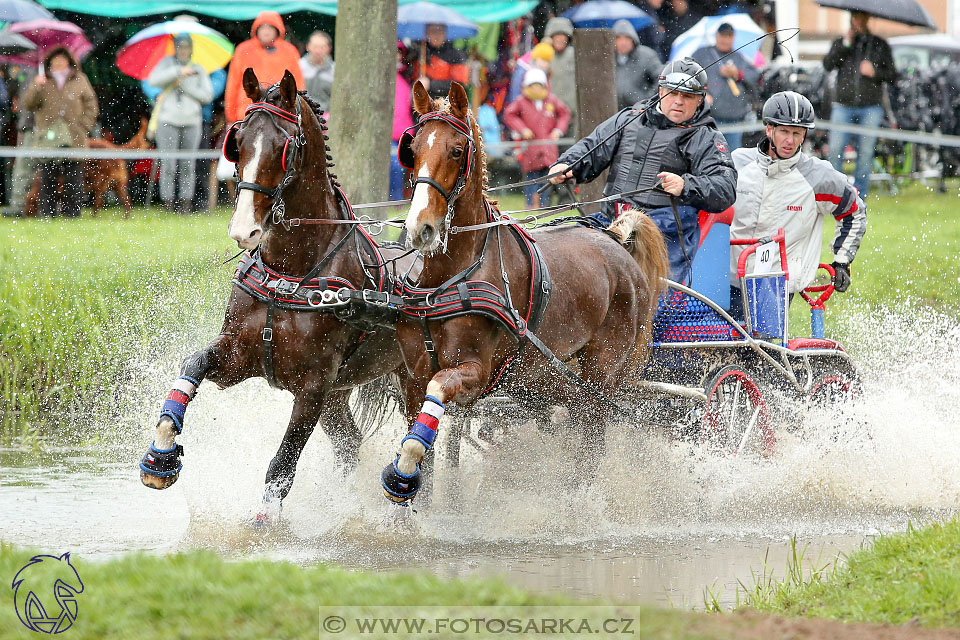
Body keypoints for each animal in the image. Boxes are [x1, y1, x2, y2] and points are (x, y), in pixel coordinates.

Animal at [140, 67, 412, 524]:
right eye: (238, 141)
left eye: (283, 147)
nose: (243, 230)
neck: (293, 272)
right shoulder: (238, 356)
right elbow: (193, 364)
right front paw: (161, 453)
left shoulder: (314, 386)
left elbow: (283, 464)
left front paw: (264, 525)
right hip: (340, 395)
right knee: (350, 446)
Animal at [378, 82, 672, 508]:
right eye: (411, 148)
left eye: (456, 150)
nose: (421, 228)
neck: (452, 274)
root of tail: (615, 243)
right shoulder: (414, 377)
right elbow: (426, 455)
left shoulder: (475, 371)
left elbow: (425, 427)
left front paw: (401, 472)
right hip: (555, 377)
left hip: (600, 375)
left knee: (592, 440)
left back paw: (578, 500)